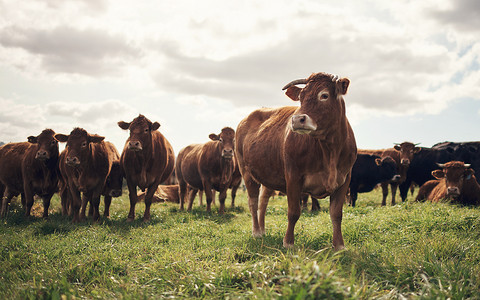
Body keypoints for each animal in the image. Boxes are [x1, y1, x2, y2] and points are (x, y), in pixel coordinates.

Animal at [235, 71, 356, 250]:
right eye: (301, 97)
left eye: (324, 95)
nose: (297, 119)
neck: (330, 151)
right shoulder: (293, 176)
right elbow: (293, 212)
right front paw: (288, 242)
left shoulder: (345, 179)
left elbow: (336, 214)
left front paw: (339, 245)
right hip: (247, 173)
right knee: (253, 202)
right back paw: (256, 232)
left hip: (268, 174)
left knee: (263, 201)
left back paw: (262, 230)